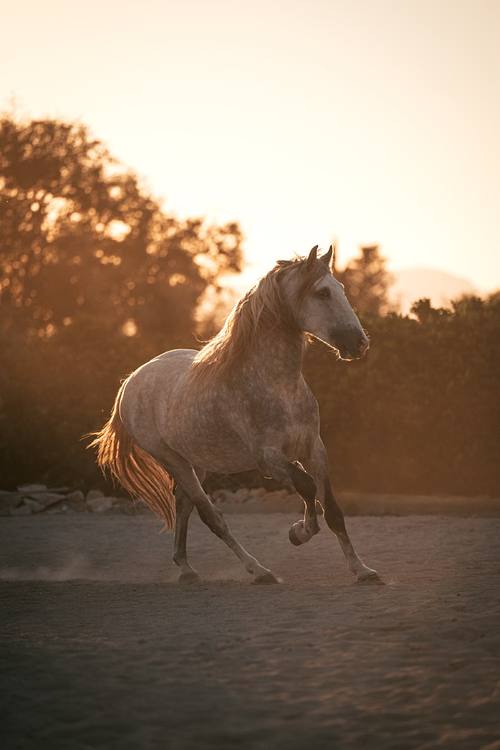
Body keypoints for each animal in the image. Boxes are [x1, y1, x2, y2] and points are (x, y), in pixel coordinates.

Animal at [90, 245, 380, 584]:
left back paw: (186, 568)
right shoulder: (268, 458)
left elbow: (332, 510)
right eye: (322, 292)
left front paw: (363, 570)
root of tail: (129, 383)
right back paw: (259, 570)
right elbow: (306, 486)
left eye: (341, 289)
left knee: (184, 505)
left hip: (196, 462)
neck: (277, 386)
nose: (359, 343)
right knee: (210, 516)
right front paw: (299, 532)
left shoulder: (314, 449)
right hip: (173, 460)